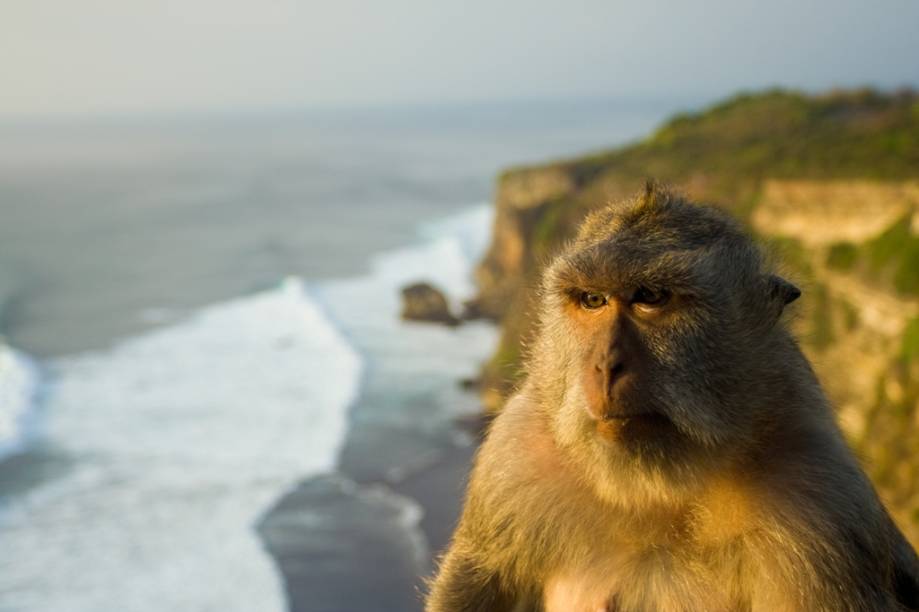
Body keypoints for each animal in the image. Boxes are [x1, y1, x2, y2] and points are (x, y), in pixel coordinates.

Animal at [426, 184, 919, 608]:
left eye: (651, 297)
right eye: (591, 300)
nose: (605, 366)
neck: (657, 491)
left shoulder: (820, 508)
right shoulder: (516, 458)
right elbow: (479, 576)